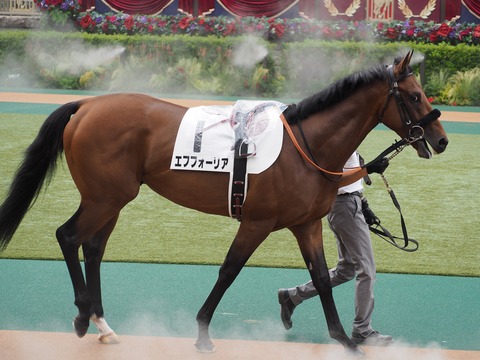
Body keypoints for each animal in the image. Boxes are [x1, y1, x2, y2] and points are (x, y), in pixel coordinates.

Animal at [0, 52, 448, 356]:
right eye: (414, 95)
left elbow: (321, 278)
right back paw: (81, 316)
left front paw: (344, 340)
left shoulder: (306, 224)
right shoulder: (257, 221)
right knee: (67, 236)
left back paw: (103, 325)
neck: (305, 147)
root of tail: (87, 105)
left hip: (113, 199)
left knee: (92, 247)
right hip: (103, 197)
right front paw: (201, 332)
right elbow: (229, 270)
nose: (442, 139)